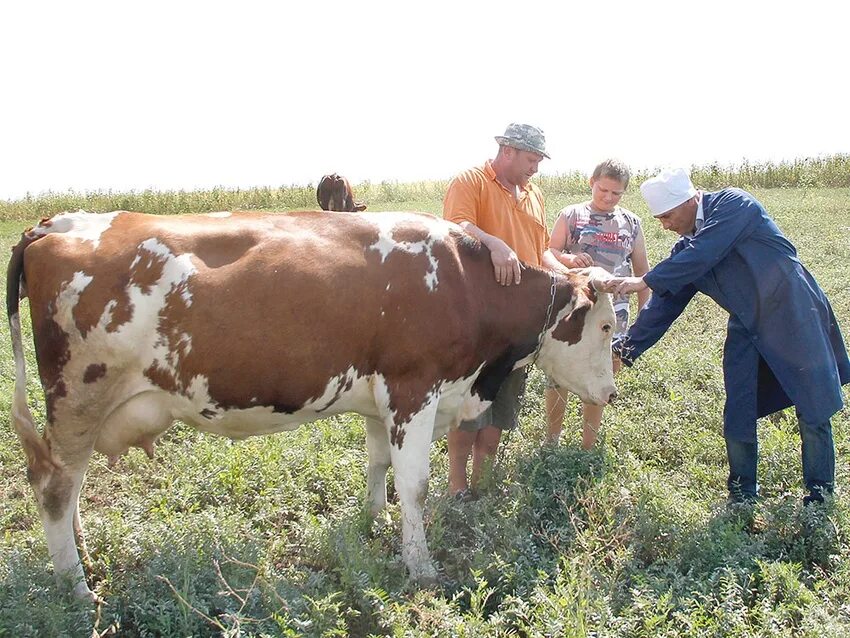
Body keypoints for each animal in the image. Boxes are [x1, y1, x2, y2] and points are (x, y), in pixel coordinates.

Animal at [8, 210, 616, 600]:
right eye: (608, 325)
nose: (611, 393)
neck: (465, 281)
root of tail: (54, 223)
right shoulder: (414, 389)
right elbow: (415, 483)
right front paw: (420, 566)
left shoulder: (380, 399)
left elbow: (378, 465)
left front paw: (373, 523)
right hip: (79, 396)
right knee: (54, 484)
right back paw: (76, 587)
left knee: (69, 486)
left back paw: (81, 555)